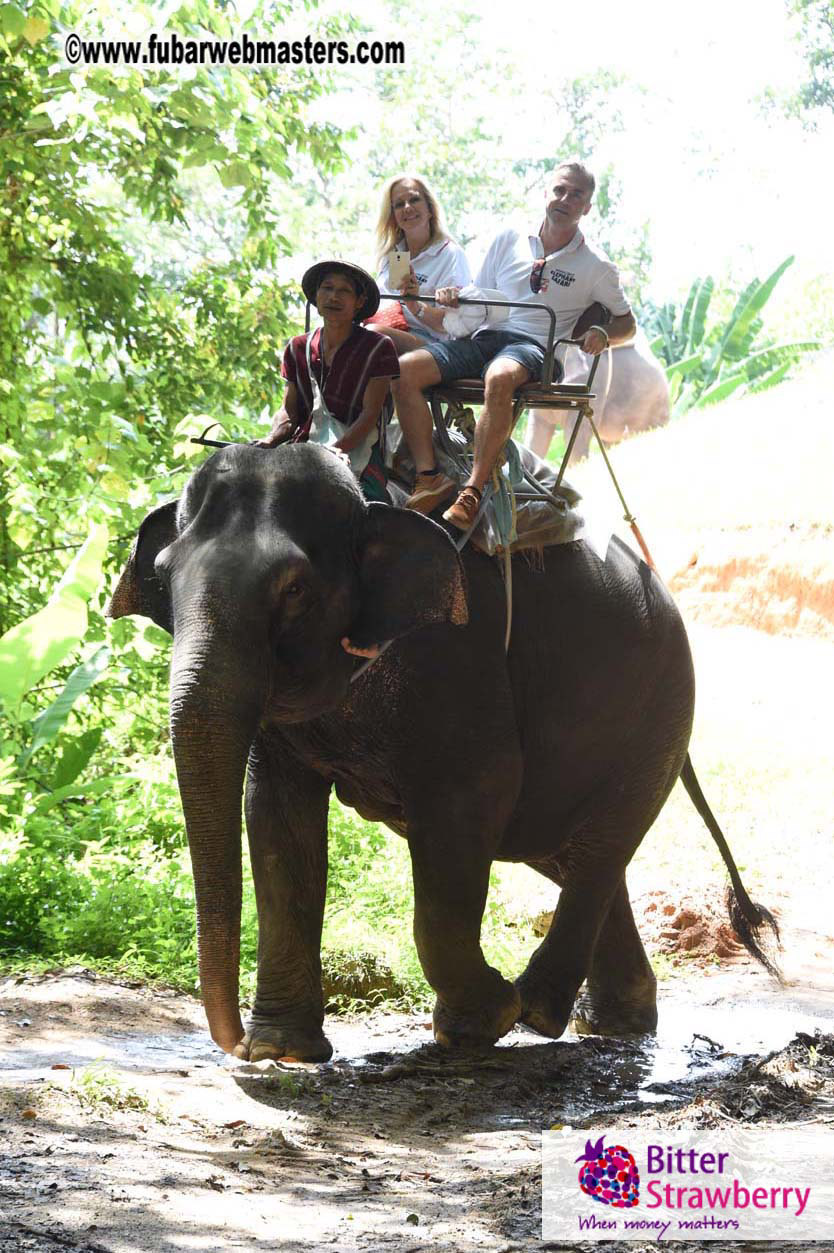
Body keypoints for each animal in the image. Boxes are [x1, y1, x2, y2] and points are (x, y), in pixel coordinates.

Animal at [108, 442, 777, 1063]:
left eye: (294, 588)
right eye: (163, 579)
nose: (233, 1043)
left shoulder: (458, 657)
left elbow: (473, 798)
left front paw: (481, 1022)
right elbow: (276, 819)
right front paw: (283, 1051)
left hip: (658, 712)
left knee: (599, 843)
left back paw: (537, 1010)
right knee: (568, 851)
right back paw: (613, 1022)